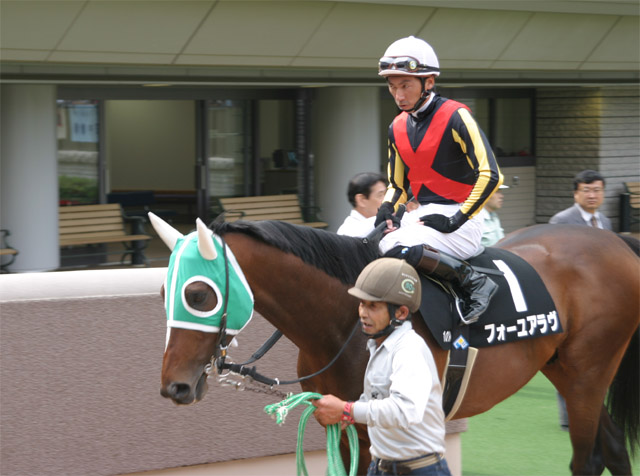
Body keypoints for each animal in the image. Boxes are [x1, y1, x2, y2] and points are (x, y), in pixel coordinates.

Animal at [152, 213, 639, 476]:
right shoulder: (340, 425)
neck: (344, 318)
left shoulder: (378, 427)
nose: (174, 386)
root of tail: (615, 239)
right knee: (613, 446)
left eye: (198, 295)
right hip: (565, 370)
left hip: (589, 371)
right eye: (162, 293)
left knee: (586, 459)